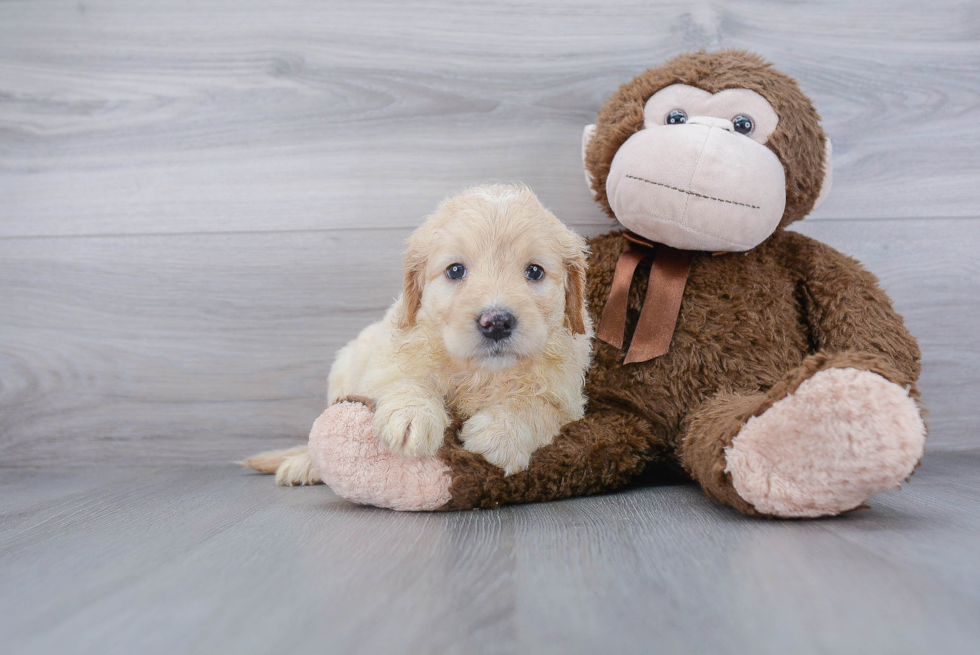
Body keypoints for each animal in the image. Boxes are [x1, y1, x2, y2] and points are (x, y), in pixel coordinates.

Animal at [245, 184, 592, 486]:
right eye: (455, 270)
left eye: (534, 271)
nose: (496, 322)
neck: (481, 372)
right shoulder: (387, 360)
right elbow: (406, 379)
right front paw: (412, 415)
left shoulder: (566, 400)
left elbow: (537, 407)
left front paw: (503, 431)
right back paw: (304, 464)